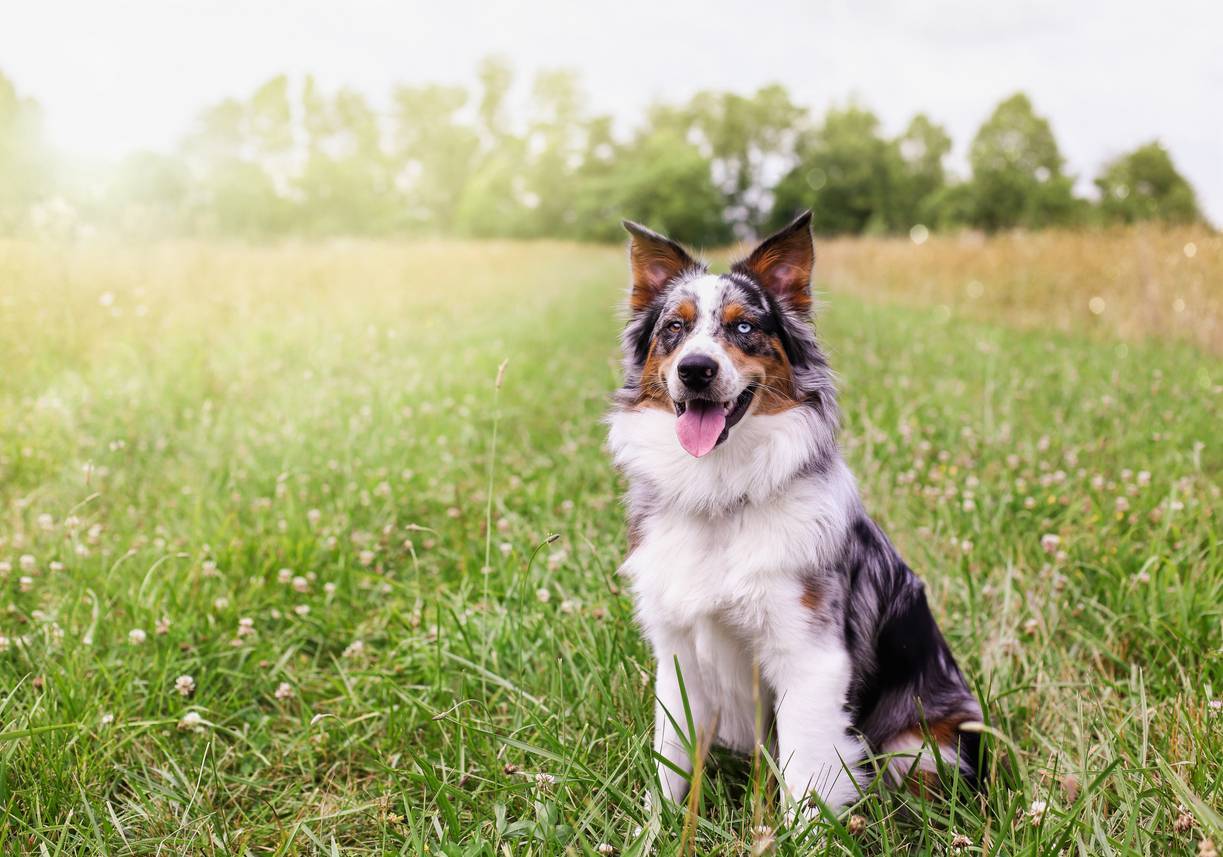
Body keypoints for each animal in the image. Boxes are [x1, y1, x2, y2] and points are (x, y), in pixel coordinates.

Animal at [606, 210, 988, 811]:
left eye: (744, 328)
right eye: (673, 328)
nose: (695, 369)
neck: (721, 493)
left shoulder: (810, 656)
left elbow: (805, 777)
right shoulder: (677, 655)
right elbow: (670, 764)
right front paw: (657, 822)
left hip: (923, 745)